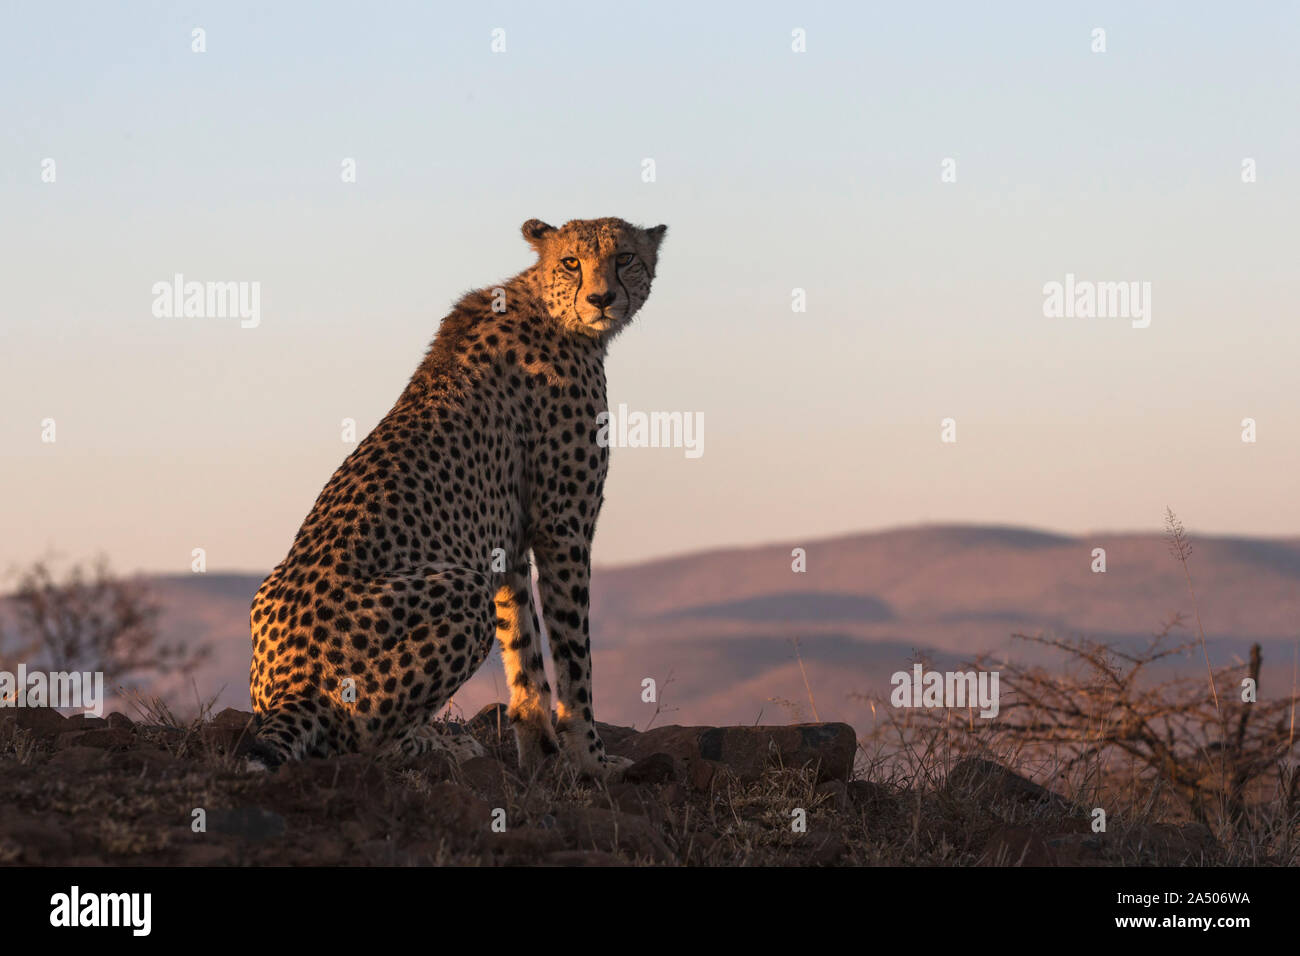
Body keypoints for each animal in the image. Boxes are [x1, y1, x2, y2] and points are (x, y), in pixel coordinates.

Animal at [245, 214, 670, 780]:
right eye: (571, 262)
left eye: (624, 257)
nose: (602, 299)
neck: (552, 309)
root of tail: (287, 686)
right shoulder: (563, 528)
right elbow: (573, 655)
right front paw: (593, 761)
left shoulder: (509, 541)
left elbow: (524, 650)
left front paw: (539, 754)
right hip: (461, 593)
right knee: (356, 738)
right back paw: (436, 746)